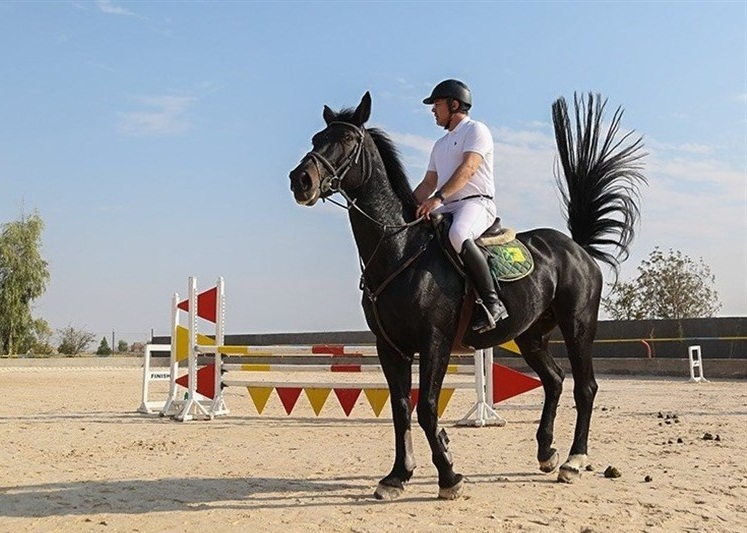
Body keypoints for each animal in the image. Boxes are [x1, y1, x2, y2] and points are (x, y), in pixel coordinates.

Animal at [290, 90, 644, 498]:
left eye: (347, 139)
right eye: (316, 138)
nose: (300, 180)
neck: (399, 247)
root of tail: (577, 248)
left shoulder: (435, 341)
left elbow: (426, 407)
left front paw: (448, 475)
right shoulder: (389, 346)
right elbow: (400, 408)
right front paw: (397, 476)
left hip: (578, 327)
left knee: (585, 388)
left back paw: (573, 461)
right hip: (530, 335)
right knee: (554, 380)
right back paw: (546, 453)